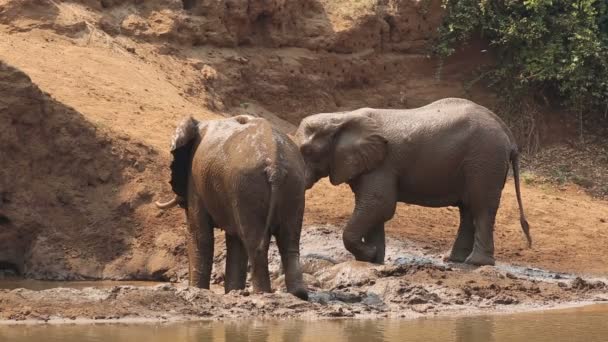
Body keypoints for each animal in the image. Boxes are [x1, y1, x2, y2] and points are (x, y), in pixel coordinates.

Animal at [157, 114, 308, 300]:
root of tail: (275, 165)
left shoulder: (195, 181)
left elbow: (200, 235)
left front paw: (197, 290)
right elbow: (235, 241)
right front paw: (233, 292)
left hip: (247, 185)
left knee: (256, 244)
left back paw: (262, 293)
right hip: (294, 184)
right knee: (289, 242)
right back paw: (299, 294)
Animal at [296, 97, 532, 266]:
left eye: (307, 151)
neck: (341, 117)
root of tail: (507, 132)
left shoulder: (382, 165)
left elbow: (379, 204)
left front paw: (369, 256)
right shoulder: (367, 165)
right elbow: (374, 208)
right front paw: (374, 260)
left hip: (485, 160)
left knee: (481, 207)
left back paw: (476, 263)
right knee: (467, 209)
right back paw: (454, 260)